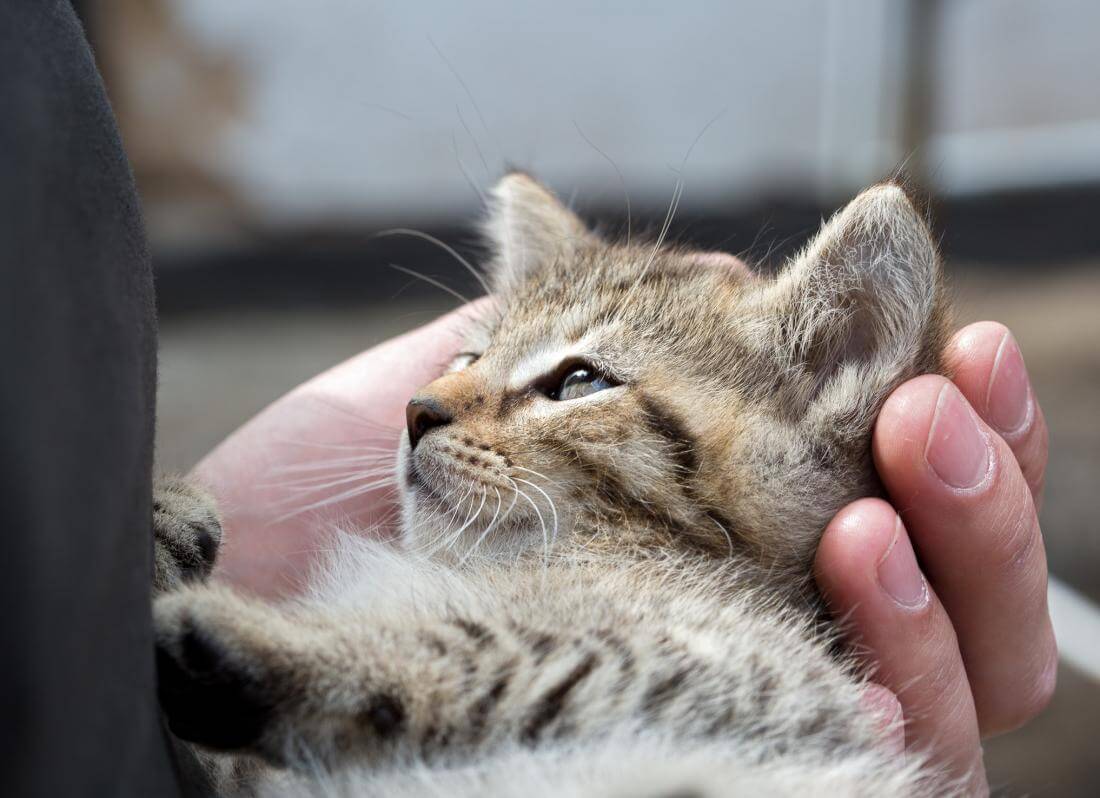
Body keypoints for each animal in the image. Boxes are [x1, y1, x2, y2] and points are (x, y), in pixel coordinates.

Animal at [150, 177, 959, 792]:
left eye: (578, 381)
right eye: (469, 355)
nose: (415, 409)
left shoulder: (760, 682)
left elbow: (499, 654)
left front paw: (264, 645)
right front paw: (166, 518)